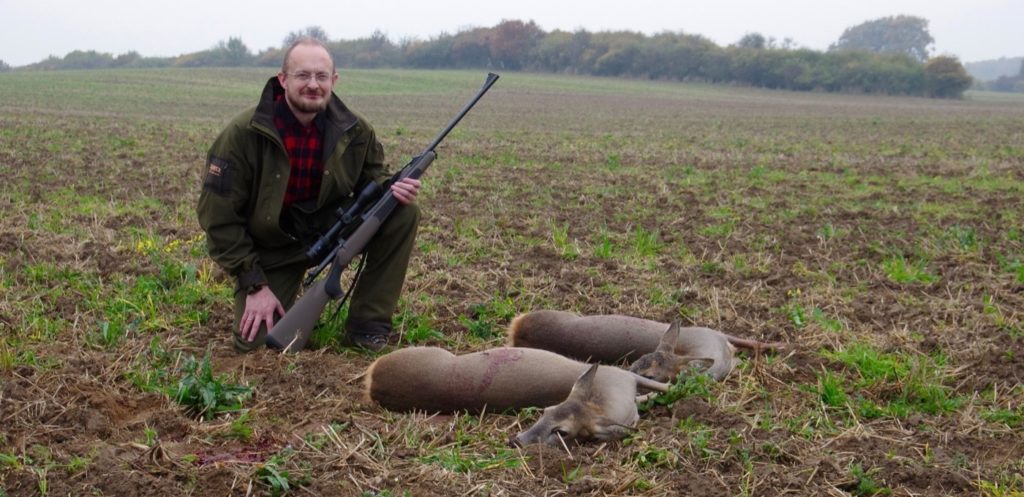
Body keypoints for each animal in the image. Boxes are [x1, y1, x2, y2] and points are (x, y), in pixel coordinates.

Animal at [364, 344, 667, 444]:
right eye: (544, 412)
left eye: (562, 432)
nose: (515, 441)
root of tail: (374, 379)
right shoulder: (623, 374)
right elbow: (665, 387)